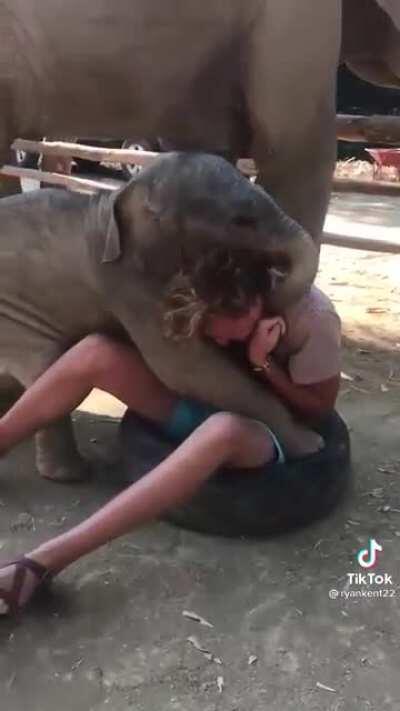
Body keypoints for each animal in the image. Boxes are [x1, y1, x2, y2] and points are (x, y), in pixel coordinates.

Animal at [0, 152, 321, 481]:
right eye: (242, 221)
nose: (267, 285)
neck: (117, 197)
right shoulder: (126, 282)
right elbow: (184, 367)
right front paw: (312, 444)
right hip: (13, 321)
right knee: (44, 367)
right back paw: (71, 474)